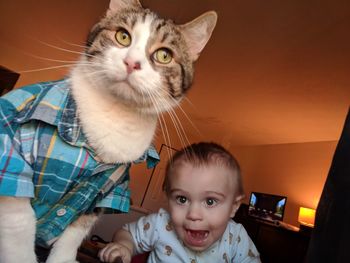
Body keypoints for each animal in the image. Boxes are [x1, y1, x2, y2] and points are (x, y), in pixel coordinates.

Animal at [0, 1, 217, 262]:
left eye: (164, 55)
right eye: (123, 36)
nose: (132, 63)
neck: (115, 114)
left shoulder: (106, 191)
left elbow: (75, 232)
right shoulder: (11, 149)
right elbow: (19, 223)